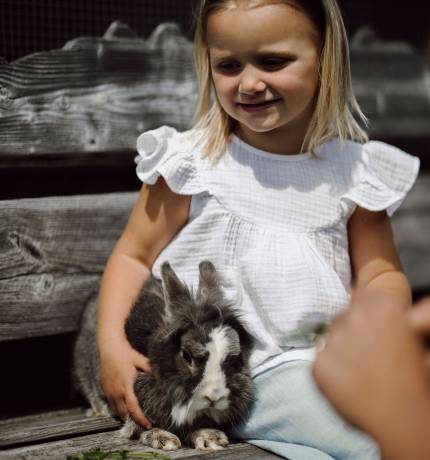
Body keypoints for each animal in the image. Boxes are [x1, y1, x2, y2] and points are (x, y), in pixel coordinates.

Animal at [73, 260, 255, 452]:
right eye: (186, 356)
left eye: (234, 359)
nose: (214, 397)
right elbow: (141, 425)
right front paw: (163, 438)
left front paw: (211, 437)